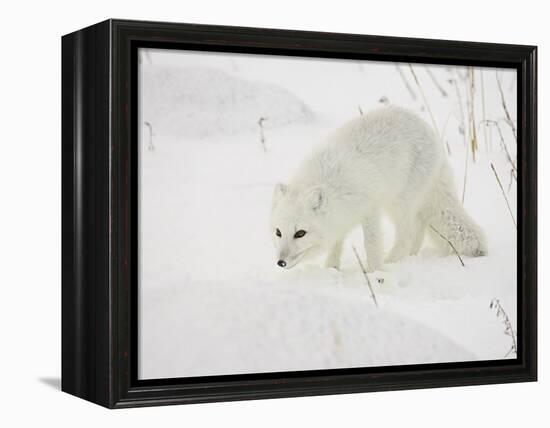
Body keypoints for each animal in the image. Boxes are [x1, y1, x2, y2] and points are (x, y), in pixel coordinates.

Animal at [270, 106, 488, 270]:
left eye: (300, 233)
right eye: (278, 232)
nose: (280, 262)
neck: (329, 181)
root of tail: (430, 131)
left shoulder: (370, 210)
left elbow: (372, 244)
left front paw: (375, 273)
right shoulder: (341, 217)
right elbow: (337, 245)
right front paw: (331, 269)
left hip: (400, 202)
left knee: (408, 234)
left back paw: (393, 263)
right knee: (418, 227)